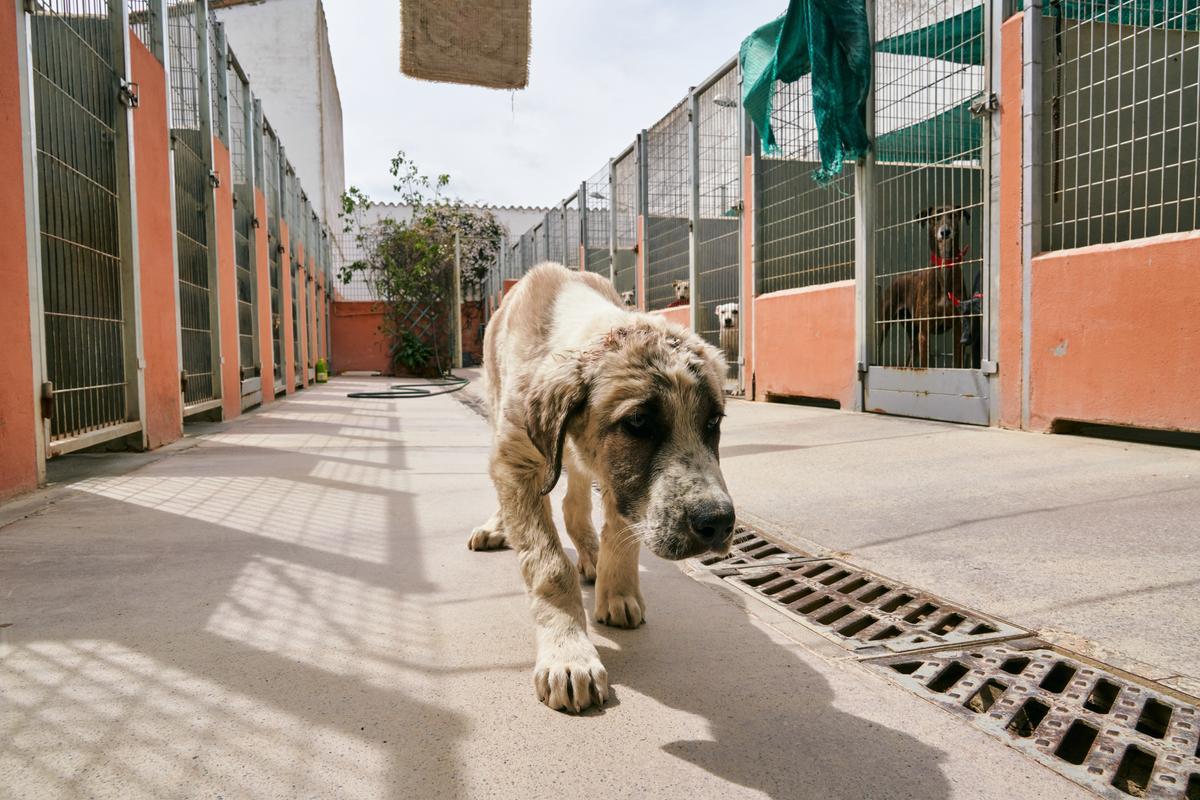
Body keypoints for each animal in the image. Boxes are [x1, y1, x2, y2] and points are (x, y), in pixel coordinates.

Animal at [465, 262, 729, 714]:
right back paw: (497, 527)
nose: (719, 522)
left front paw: (617, 591)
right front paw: (568, 653)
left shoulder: (621, 485)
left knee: (574, 507)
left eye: (713, 422)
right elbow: (549, 566)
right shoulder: (517, 462)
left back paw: (590, 556)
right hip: (498, 407)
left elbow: (621, 534)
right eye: (638, 422)